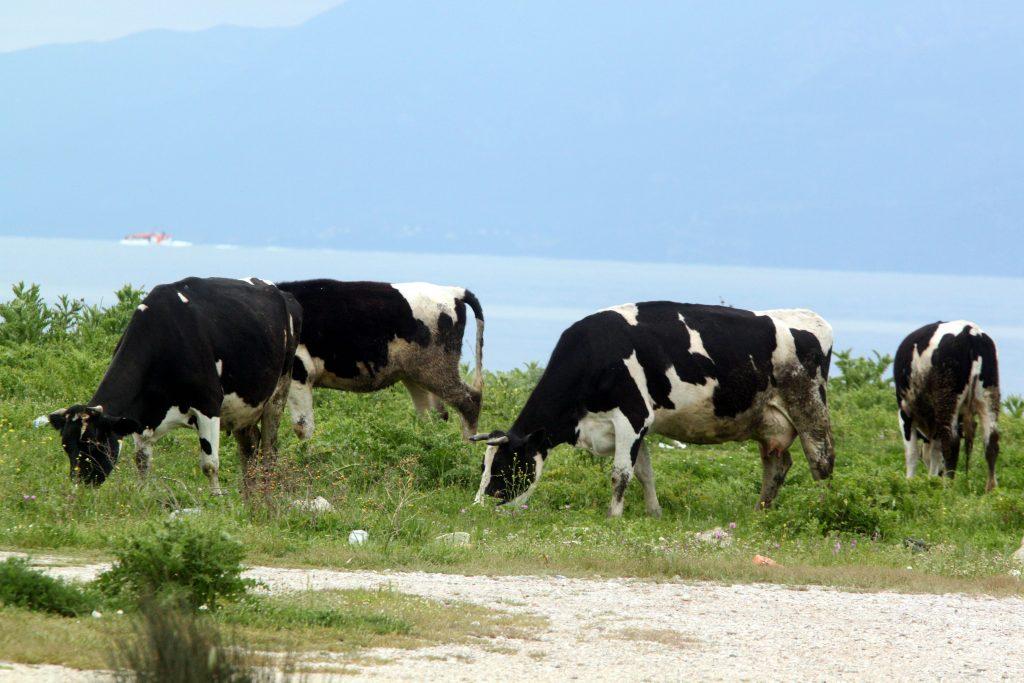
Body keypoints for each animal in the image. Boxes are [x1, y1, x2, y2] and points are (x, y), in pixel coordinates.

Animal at [47, 274, 299, 493]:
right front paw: (141, 494)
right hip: (242, 409)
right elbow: (142, 461)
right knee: (250, 448)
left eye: (95, 445)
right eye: (66, 446)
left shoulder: (208, 405)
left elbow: (210, 464)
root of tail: (280, 292)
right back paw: (249, 493)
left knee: (269, 449)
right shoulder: (140, 414)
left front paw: (217, 500)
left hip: (278, 393)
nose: (79, 488)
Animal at [276, 280, 483, 440]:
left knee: (469, 401)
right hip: (415, 374)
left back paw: (465, 450)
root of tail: (453, 291)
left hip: (436, 369)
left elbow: (302, 427)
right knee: (433, 416)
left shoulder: (300, 372)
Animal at [471, 301, 831, 516]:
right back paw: (759, 510)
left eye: (505, 465)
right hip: (768, 422)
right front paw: (653, 512)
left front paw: (613, 517)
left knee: (821, 462)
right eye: (483, 466)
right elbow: (645, 472)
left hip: (810, 407)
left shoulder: (632, 415)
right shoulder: (638, 424)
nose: (477, 506)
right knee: (778, 463)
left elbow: (621, 474)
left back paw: (820, 507)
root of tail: (812, 318)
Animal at [897, 321, 999, 491]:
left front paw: (910, 482)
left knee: (952, 443)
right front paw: (932, 480)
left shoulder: (905, 413)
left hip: (947, 397)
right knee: (991, 441)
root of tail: (969, 330)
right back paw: (991, 490)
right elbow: (935, 453)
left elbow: (912, 454)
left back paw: (948, 487)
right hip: (989, 395)